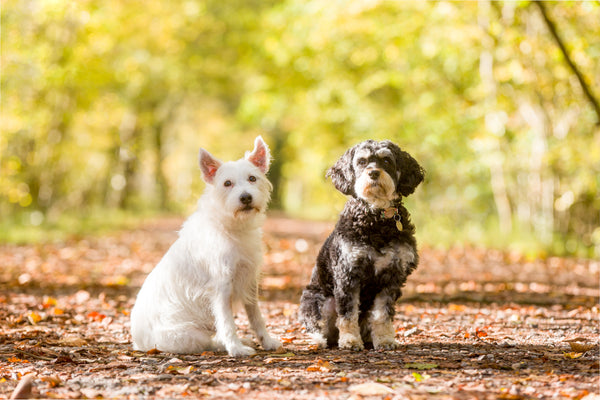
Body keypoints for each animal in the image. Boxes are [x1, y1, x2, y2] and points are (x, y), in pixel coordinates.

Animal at [131, 138, 282, 356]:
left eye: (252, 178)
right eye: (227, 183)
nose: (245, 197)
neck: (231, 226)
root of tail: (138, 342)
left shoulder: (250, 281)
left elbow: (257, 317)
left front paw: (267, 341)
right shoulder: (222, 287)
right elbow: (227, 323)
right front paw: (236, 348)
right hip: (189, 336)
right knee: (208, 342)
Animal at [298, 140, 422, 350]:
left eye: (386, 160)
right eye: (362, 161)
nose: (373, 173)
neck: (376, 219)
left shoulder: (392, 276)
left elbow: (382, 314)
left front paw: (385, 339)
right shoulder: (348, 273)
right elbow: (348, 313)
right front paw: (350, 340)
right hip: (318, 300)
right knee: (318, 324)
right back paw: (318, 341)